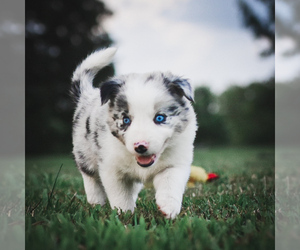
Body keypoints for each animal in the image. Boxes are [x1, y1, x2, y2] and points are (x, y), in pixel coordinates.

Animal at [70, 47, 197, 219]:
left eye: (160, 117)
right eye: (126, 120)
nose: (140, 146)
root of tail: (88, 95)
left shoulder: (175, 164)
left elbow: (170, 184)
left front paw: (168, 208)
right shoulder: (112, 169)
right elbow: (120, 195)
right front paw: (124, 214)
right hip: (84, 153)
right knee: (91, 179)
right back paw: (96, 203)